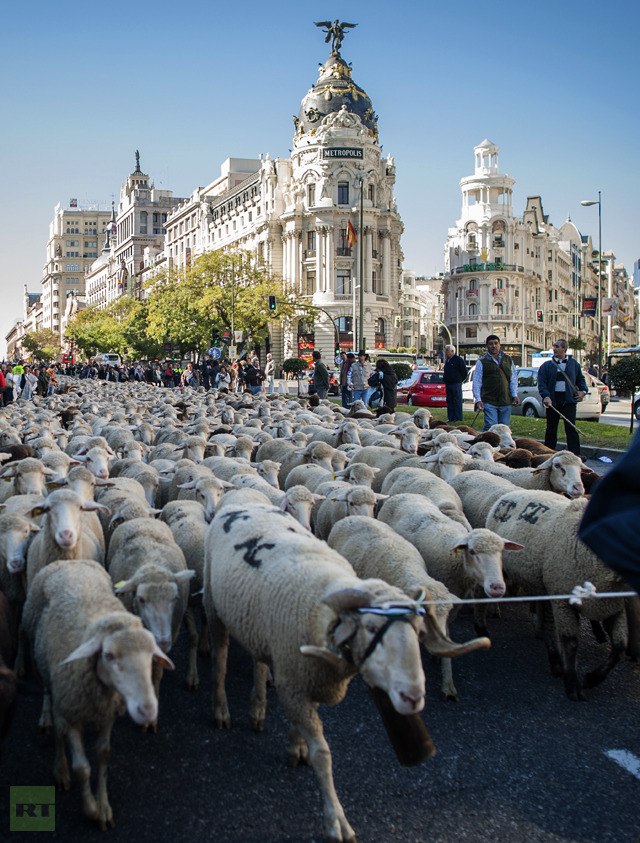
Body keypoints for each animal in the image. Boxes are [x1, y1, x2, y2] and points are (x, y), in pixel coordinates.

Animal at [22, 560, 172, 832]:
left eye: (150, 656)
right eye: (108, 655)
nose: (147, 710)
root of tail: (69, 561)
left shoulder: (109, 711)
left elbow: (103, 754)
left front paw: (103, 808)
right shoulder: (72, 710)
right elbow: (82, 768)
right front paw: (90, 809)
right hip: (48, 674)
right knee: (54, 716)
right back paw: (59, 765)